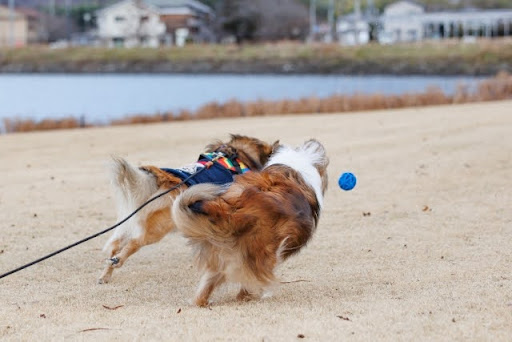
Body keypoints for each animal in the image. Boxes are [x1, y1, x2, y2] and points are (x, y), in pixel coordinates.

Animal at [98, 135, 278, 284]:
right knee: (135, 242)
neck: (239, 155)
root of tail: (166, 178)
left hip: (133, 222)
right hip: (156, 229)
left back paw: (105, 274)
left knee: (115, 246)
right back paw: (118, 260)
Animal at [172, 140, 330, 308]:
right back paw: (256, 295)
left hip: (219, 253)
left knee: (207, 284)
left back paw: (203, 301)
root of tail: (231, 209)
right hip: (264, 251)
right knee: (253, 281)